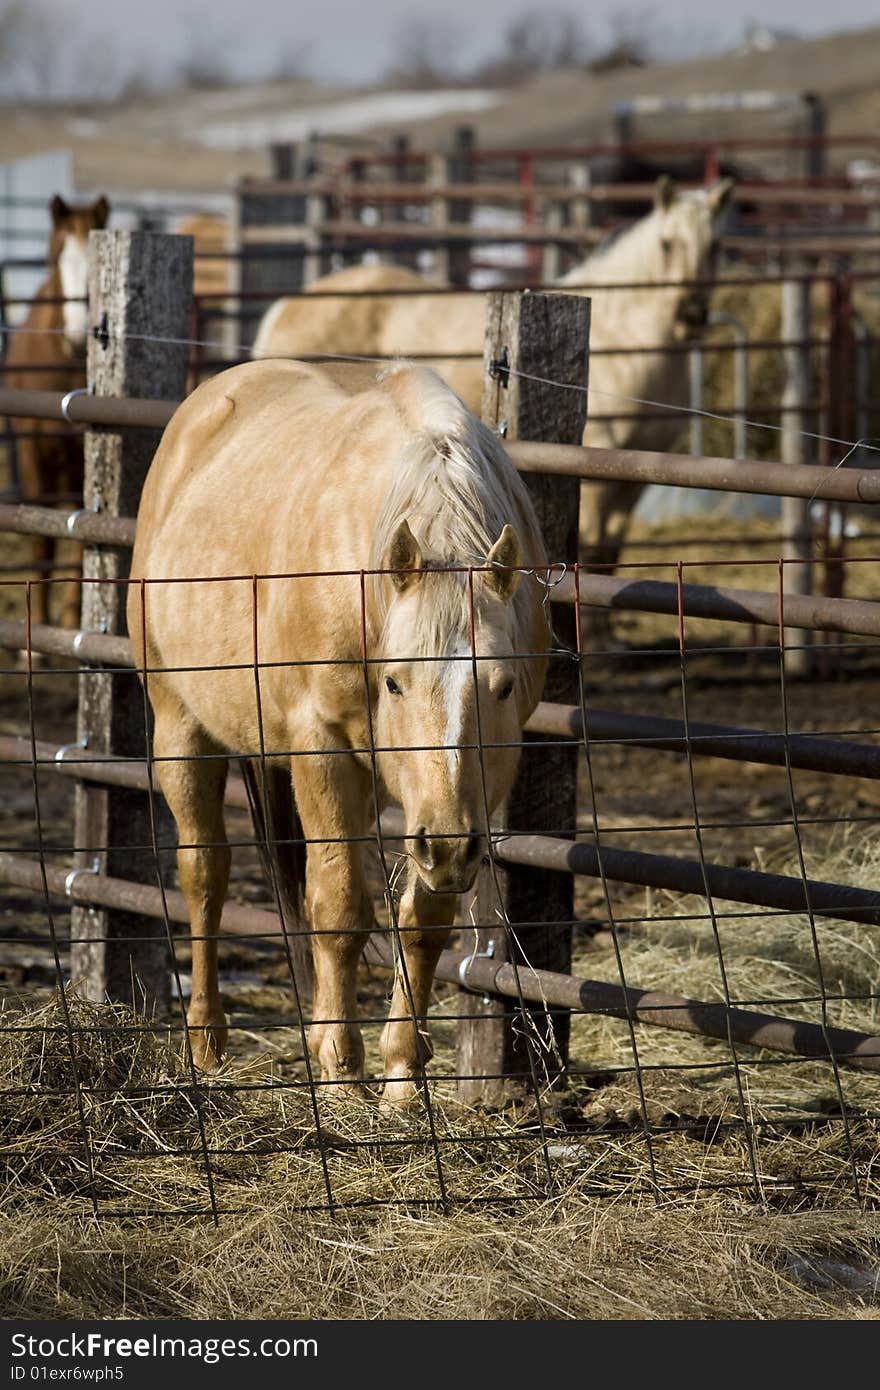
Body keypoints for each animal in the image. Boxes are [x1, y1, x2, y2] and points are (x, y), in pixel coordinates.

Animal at [127, 358, 544, 1106]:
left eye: (500, 687)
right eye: (394, 683)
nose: (446, 844)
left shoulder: (465, 796)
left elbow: (424, 921)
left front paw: (402, 1073)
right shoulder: (322, 750)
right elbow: (341, 906)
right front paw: (343, 1070)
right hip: (182, 729)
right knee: (205, 874)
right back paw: (206, 1040)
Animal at [254, 177, 734, 575]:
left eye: (715, 246)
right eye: (668, 244)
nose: (692, 314)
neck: (625, 338)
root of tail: (286, 307)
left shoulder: (635, 478)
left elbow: (612, 558)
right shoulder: (599, 474)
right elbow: (594, 555)